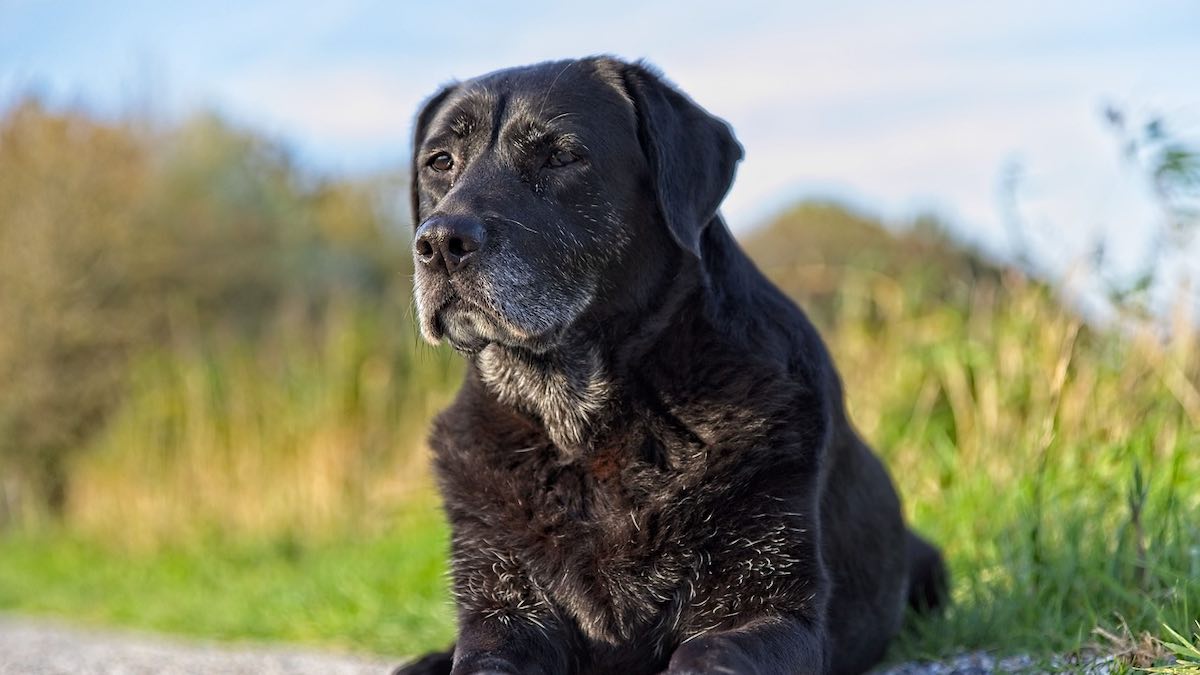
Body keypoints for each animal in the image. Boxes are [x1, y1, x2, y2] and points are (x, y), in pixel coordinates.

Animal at [398, 55, 940, 667]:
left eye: (561, 156)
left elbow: (705, 656)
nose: (440, 243)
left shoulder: (773, 612)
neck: (581, 426)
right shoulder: (503, 611)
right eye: (440, 162)